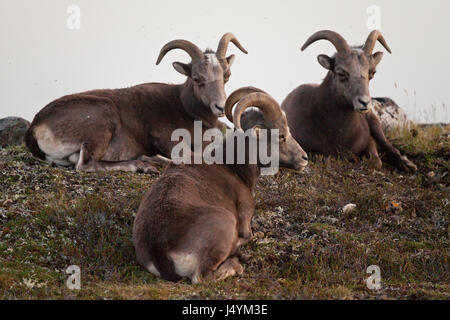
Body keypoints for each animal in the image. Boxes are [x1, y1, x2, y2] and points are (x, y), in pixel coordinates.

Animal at [24, 33, 248, 172]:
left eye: (226, 76)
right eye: (197, 78)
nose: (220, 107)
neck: (186, 110)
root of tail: (36, 127)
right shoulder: (169, 140)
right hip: (103, 118)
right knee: (85, 164)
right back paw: (143, 164)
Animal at [133, 87, 310, 282]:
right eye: (281, 136)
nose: (304, 158)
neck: (232, 167)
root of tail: (160, 252)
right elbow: (248, 234)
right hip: (225, 225)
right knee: (203, 276)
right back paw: (237, 261)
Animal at [284, 30, 416, 172]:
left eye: (372, 73)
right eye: (341, 73)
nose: (364, 102)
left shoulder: (369, 141)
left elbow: (375, 161)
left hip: (374, 122)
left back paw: (407, 165)